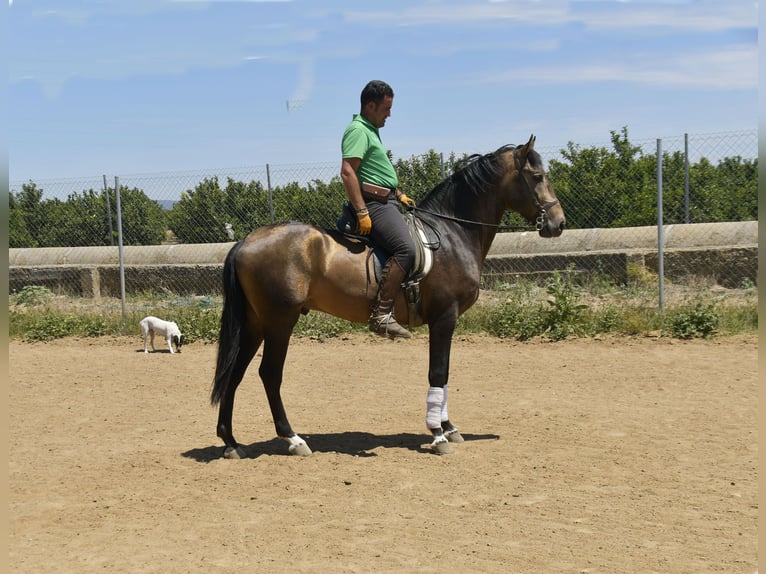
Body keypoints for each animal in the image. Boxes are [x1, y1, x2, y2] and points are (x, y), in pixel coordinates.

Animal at [213, 134, 568, 460]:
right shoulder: (444, 318)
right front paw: (438, 434)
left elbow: (445, 374)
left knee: (236, 372)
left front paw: (449, 427)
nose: (559, 223)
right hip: (279, 322)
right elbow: (438, 373)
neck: (453, 235)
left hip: (255, 323)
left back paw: (231, 442)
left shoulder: (446, 321)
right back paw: (293, 439)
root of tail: (246, 241)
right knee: (269, 374)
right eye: (538, 176)